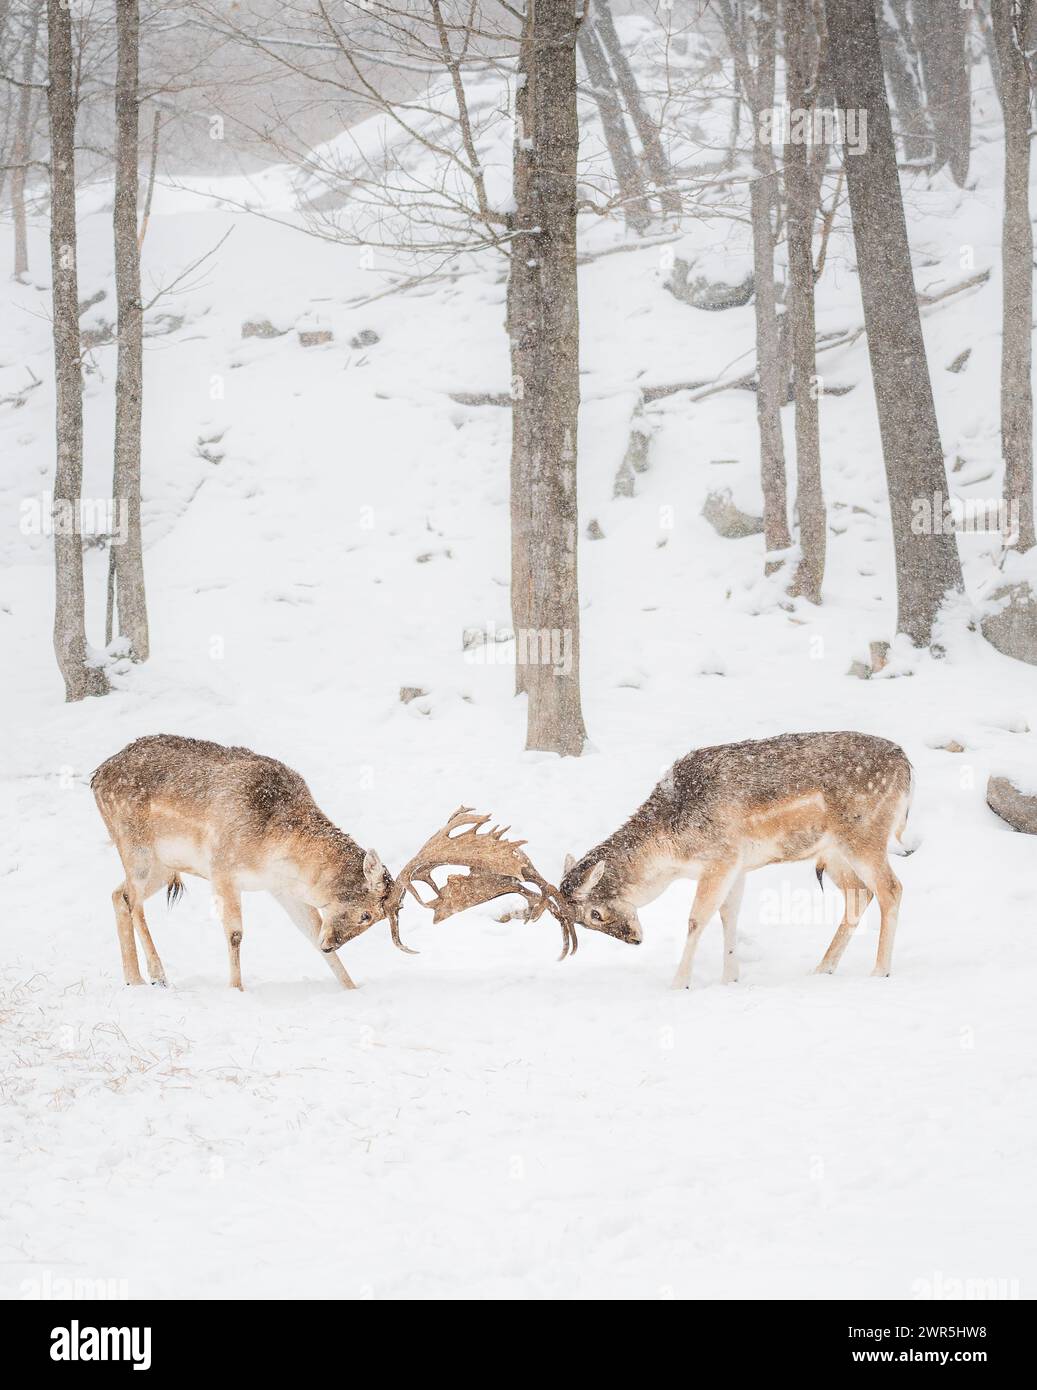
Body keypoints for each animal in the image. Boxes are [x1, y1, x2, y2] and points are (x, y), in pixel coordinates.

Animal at [91, 735, 396, 990]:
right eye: (366, 914)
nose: (330, 945)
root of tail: (97, 776)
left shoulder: (281, 889)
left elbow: (310, 930)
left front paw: (351, 987)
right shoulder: (222, 869)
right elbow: (235, 933)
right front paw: (236, 988)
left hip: (164, 867)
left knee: (118, 895)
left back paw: (133, 979)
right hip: (135, 848)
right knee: (133, 901)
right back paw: (157, 976)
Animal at [555, 731, 915, 989]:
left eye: (595, 913)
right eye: (584, 922)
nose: (635, 939)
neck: (672, 853)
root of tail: (907, 767)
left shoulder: (721, 856)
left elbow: (696, 919)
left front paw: (679, 984)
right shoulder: (738, 865)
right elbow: (729, 916)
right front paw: (730, 978)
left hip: (864, 835)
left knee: (891, 889)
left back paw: (879, 971)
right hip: (832, 852)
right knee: (860, 894)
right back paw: (822, 968)